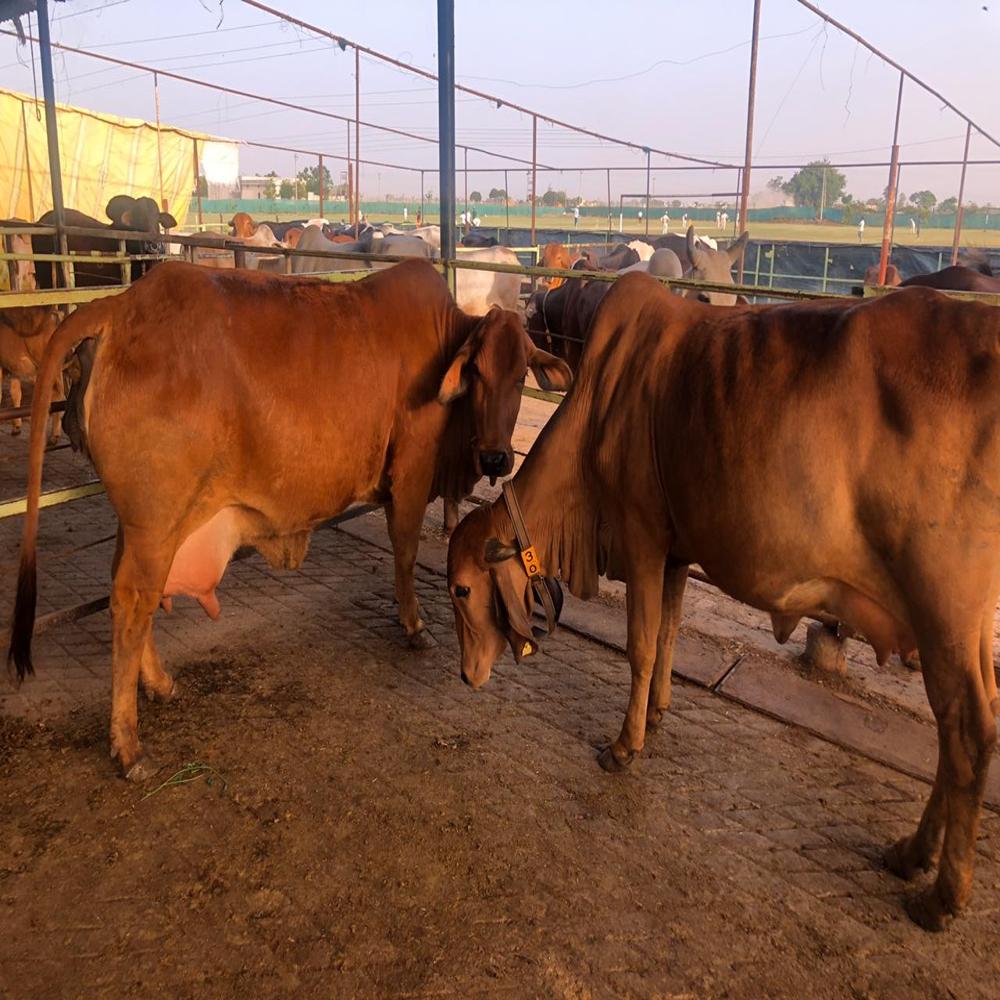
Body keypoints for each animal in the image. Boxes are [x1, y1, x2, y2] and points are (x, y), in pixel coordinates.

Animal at [0, 306, 64, 442]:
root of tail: (53, 314)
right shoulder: (14, 367)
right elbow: (16, 393)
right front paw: (16, 427)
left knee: (56, 394)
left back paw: (53, 436)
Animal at [9, 259, 572, 780]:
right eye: (476, 373)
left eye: (521, 375)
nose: (498, 458)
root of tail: (122, 306)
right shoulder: (411, 477)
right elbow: (406, 553)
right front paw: (413, 626)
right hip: (155, 518)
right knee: (131, 602)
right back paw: (128, 745)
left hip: (145, 524)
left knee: (128, 591)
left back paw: (159, 684)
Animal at [447, 274, 1000, 932]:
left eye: (461, 589)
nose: (466, 676)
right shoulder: (677, 551)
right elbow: (668, 633)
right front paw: (656, 714)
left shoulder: (640, 532)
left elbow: (641, 643)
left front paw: (624, 746)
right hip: (966, 624)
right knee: (964, 726)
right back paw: (911, 855)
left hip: (942, 606)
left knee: (968, 731)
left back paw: (941, 894)